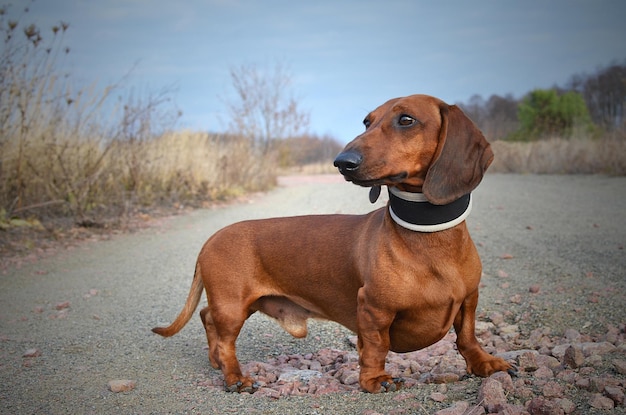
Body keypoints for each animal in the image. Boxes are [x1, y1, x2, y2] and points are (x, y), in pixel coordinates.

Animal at [152, 93, 512, 394]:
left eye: (406, 119)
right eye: (367, 121)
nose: (342, 162)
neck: (428, 237)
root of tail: (209, 240)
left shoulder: (469, 300)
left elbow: (467, 336)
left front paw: (484, 363)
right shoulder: (374, 308)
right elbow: (376, 347)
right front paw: (375, 379)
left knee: (206, 316)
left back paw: (215, 360)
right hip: (233, 305)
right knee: (222, 334)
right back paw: (234, 376)